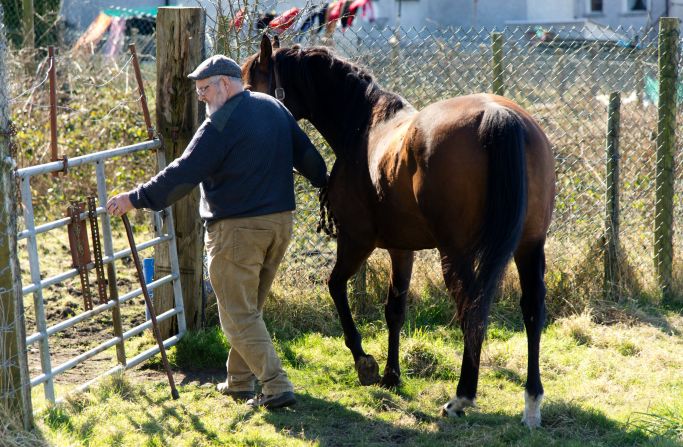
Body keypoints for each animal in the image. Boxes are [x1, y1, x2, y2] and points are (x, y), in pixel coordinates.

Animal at [240, 35, 556, 428]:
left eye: (252, 84)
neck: (363, 126)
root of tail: (500, 115)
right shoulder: (402, 249)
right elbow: (395, 308)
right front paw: (392, 374)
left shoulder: (356, 241)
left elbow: (336, 287)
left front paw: (364, 363)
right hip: (529, 245)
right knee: (531, 309)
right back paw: (532, 402)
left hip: (456, 254)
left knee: (473, 308)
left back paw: (461, 397)